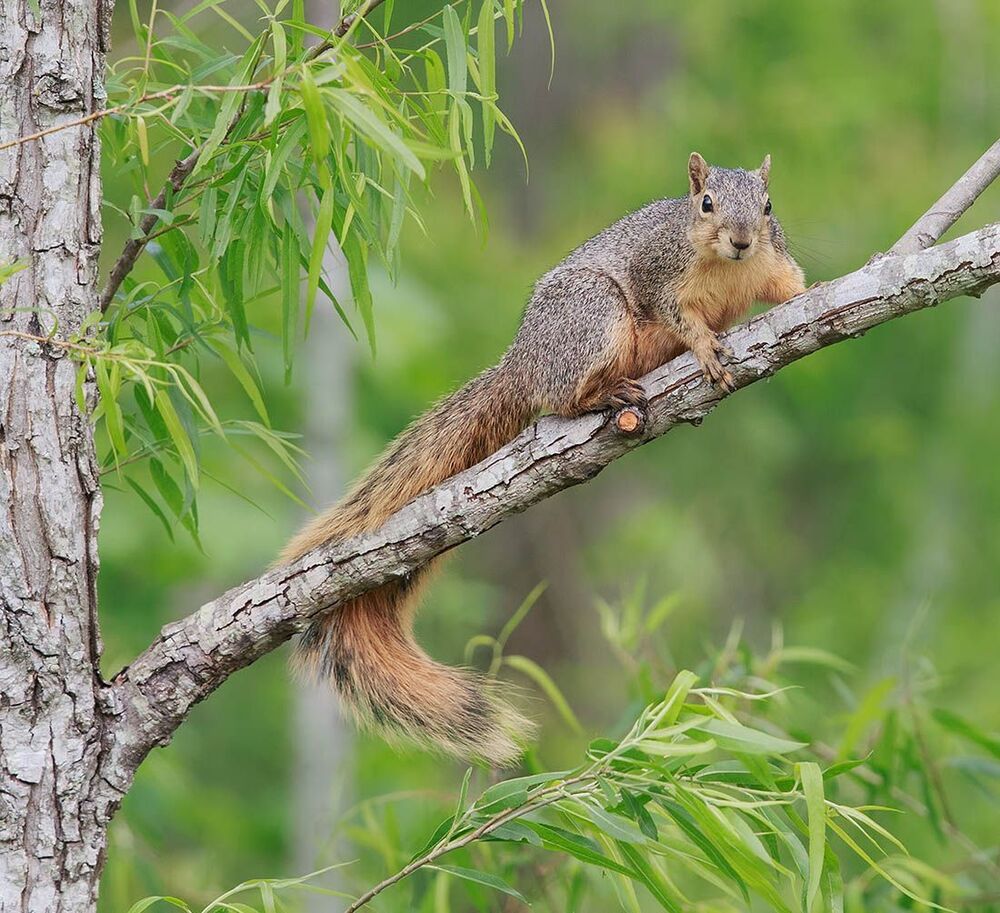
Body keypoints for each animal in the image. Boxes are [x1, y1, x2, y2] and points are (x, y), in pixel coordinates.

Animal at [280, 152, 806, 766]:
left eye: (767, 206)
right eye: (705, 204)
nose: (743, 240)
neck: (724, 266)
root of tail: (522, 362)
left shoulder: (772, 260)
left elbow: (788, 282)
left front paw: (813, 294)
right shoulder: (661, 277)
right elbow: (680, 317)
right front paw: (703, 347)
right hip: (592, 317)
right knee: (563, 395)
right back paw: (604, 395)